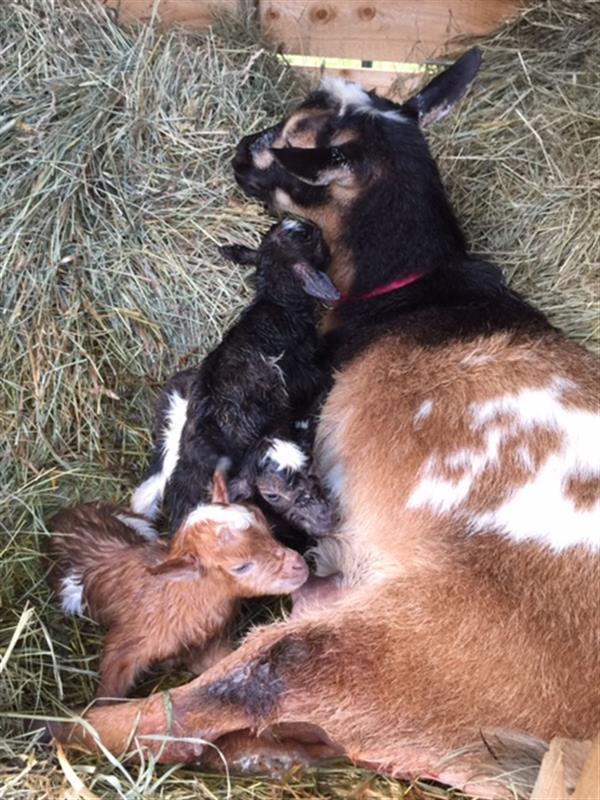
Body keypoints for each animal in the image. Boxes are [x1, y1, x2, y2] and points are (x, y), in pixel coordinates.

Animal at [54, 48, 596, 792]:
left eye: (293, 138)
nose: (237, 152)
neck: (418, 287)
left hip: (390, 653)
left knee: (212, 701)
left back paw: (63, 728)